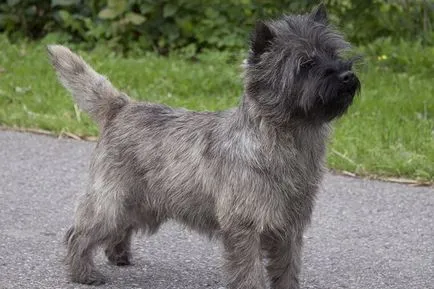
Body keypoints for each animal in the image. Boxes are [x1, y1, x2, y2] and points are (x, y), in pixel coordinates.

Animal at [47, 4, 360, 288]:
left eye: (334, 54)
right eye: (305, 64)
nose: (346, 75)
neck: (287, 141)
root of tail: (122, 107)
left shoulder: (290, 228)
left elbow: (287, 268)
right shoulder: (245, 227)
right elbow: (249, 272)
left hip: (140, 202)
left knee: (120, 227)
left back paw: (118, 255)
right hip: (112, 199)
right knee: (79, 233)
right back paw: (84, 274)